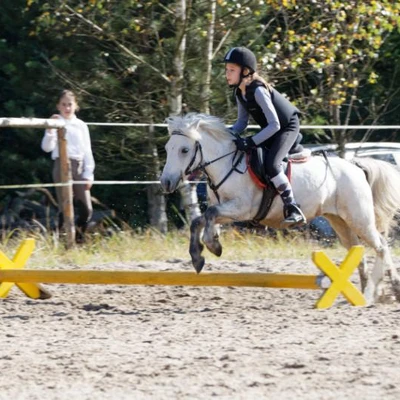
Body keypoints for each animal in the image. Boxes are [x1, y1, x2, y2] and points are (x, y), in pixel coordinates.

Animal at [161, 112, 400, 304]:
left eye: (184, 150)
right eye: (166, 149)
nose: (166, 182)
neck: (227, 164)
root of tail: (355, 166)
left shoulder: (242, 208)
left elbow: (209, 215)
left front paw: (213, 245)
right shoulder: (226, 210)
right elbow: (198, 220)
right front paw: (198, 257)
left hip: (359, 218)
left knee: (381, 246)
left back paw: (382, 291)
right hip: (340, 221)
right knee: (358, 250)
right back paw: (365, 293)